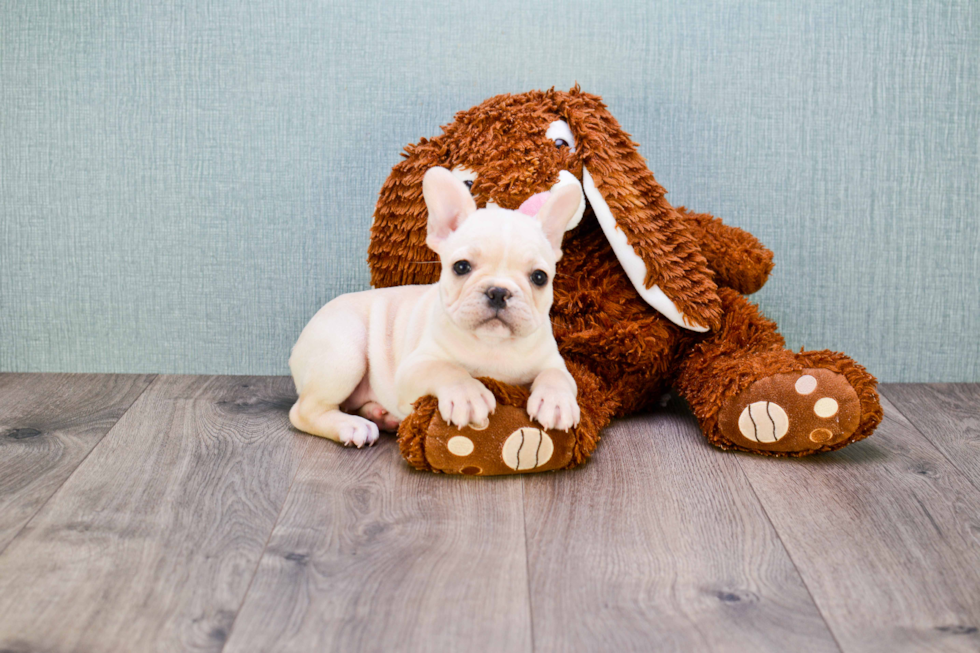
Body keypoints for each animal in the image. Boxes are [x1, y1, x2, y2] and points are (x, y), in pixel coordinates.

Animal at [290, 166, 580, 446]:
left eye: (539, 277)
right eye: (461, 267)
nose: (498, 292)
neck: (492, 345)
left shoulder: (553, 361)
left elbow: (557, 376)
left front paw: (556, 401)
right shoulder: (413, 368)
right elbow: (446, 369)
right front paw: (467, 395)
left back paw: (380, 416)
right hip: (344, 352)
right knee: (304, 412)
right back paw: (351, 426)